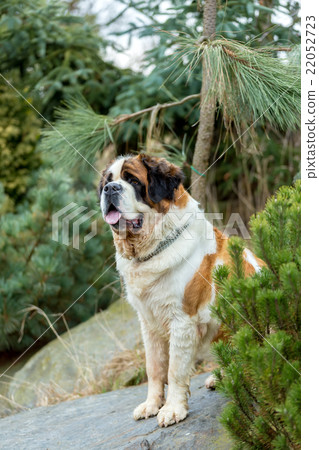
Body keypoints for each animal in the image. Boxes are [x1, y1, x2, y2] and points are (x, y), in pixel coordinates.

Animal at [99, 153, 264, 428]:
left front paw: (173, 409)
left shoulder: (182, 321)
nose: (110, 189)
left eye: (133, 180)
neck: (151, 249)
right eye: (107, 181)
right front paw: (152, 404)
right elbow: (154, 367)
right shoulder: (148, 322)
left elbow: (175, 370)